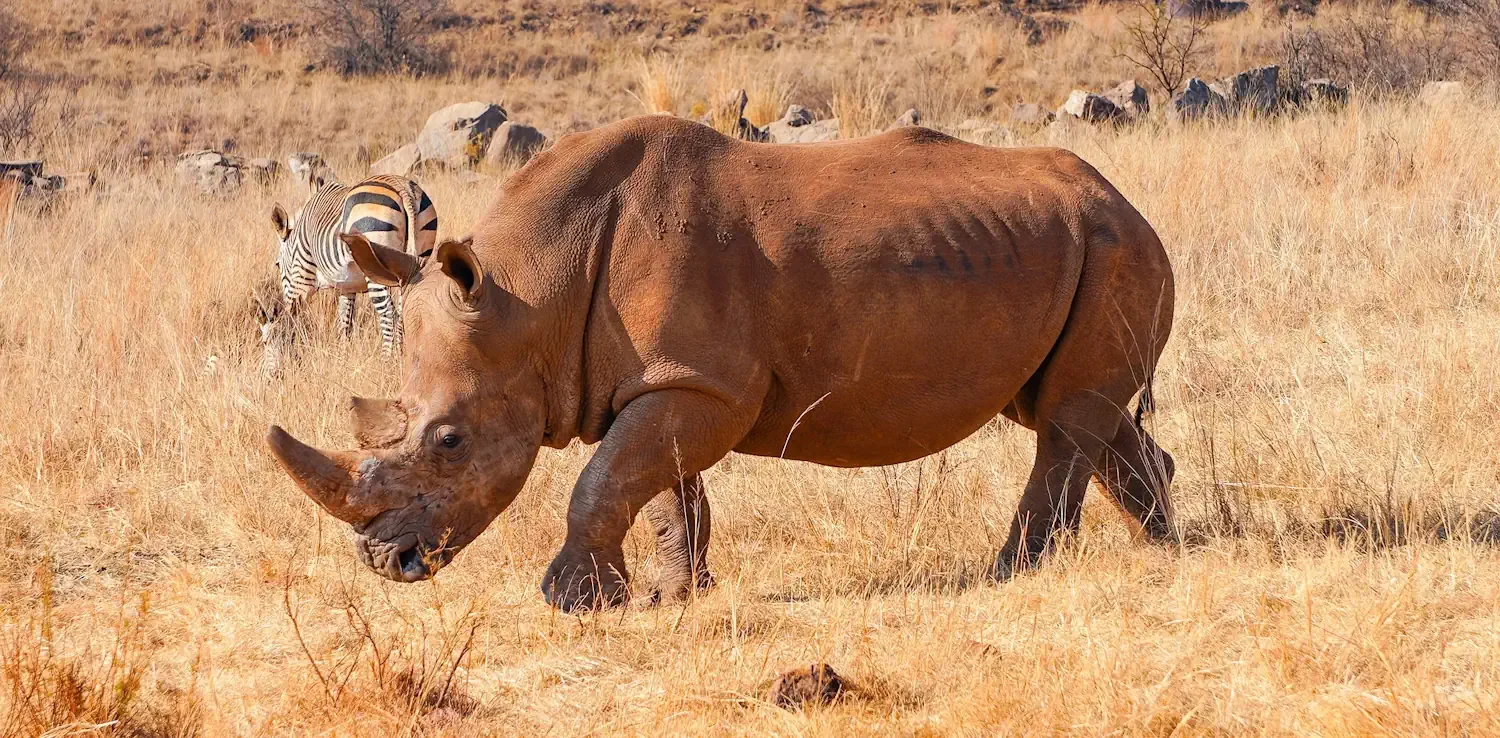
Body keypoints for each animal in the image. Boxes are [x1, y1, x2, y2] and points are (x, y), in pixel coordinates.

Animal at [262, 174, 438, 373]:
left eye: (277, 265)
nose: (271, 376)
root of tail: (401, 186)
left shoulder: (301, 276)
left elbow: (288, 318)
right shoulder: (346, 285)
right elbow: (345, 323)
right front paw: (342, 360)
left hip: (373, 259)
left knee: (388, 314)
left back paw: (386, 364)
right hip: (418, 258)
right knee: (402, 310)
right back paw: (403, 358)